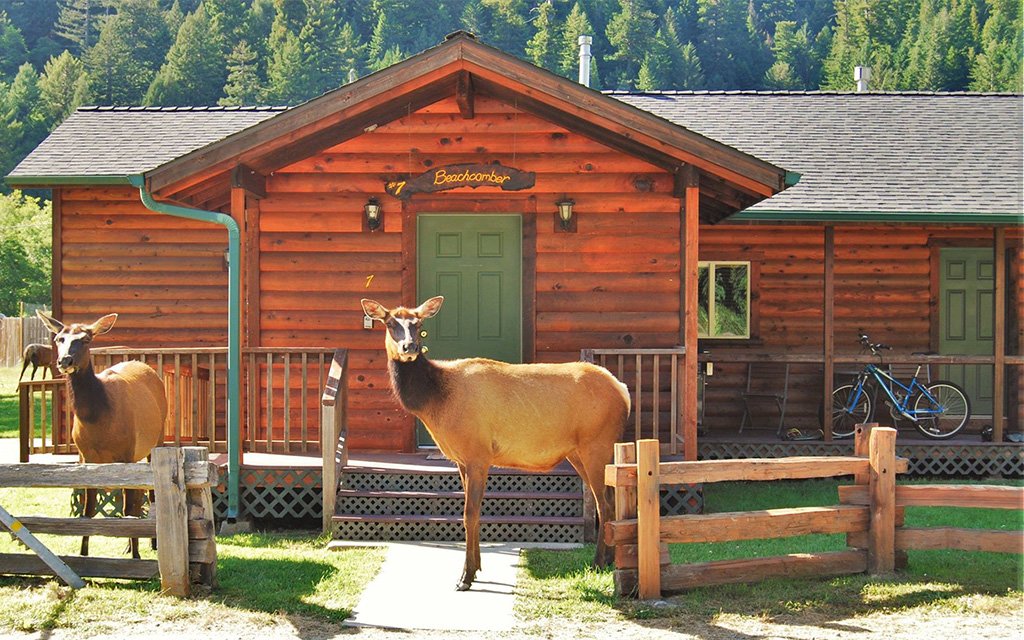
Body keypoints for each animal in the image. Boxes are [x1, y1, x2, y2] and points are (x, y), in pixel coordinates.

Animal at [37, 309, 166, 552]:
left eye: (86, 339)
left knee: (150, 493)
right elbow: (87, 512)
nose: (64, 360)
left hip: (157, 439)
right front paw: (84, 553)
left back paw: (153, 543)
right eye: (59, 339)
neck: (98, 422)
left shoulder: (126, 454)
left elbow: (128, 510)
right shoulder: (86, 457)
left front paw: (137, 556)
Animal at [364, 296, 626, 589]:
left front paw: (465, 577)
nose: (409, 347)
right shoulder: (462, 460)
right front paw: (476, 568)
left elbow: (469, 514)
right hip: (578, 453)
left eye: (418, 324)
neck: (437, 402)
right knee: (610, 500)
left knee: (605, 505)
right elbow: (475, 514)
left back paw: (599, 561)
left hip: (597, 445)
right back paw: (609, 559)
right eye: (390, 323)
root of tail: (623, 391)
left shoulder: (478, 454)